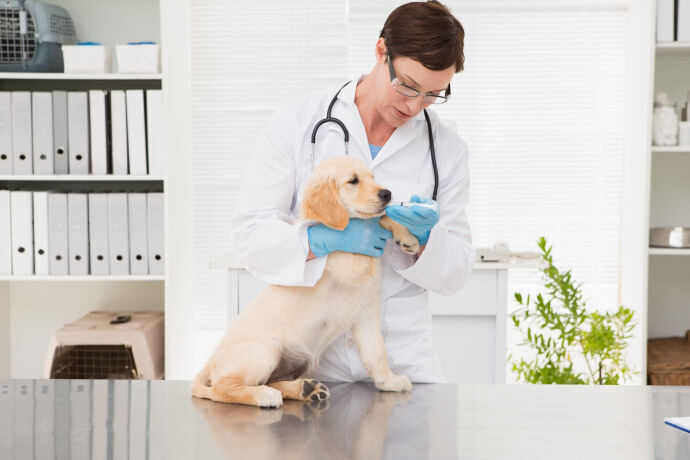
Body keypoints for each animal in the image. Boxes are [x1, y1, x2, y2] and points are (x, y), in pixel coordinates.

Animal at [192, 156, 420, 408]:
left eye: (373, 178)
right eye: (353, 181)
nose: (387, 193)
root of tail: (208, 364)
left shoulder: (365, 310)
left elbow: (376, 350)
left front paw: (388, 380)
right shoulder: (345, 268)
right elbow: (364, 225)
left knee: (272, 381)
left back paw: (306, 389)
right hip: (266, 349)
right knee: (222, 388)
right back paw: (264, 395)